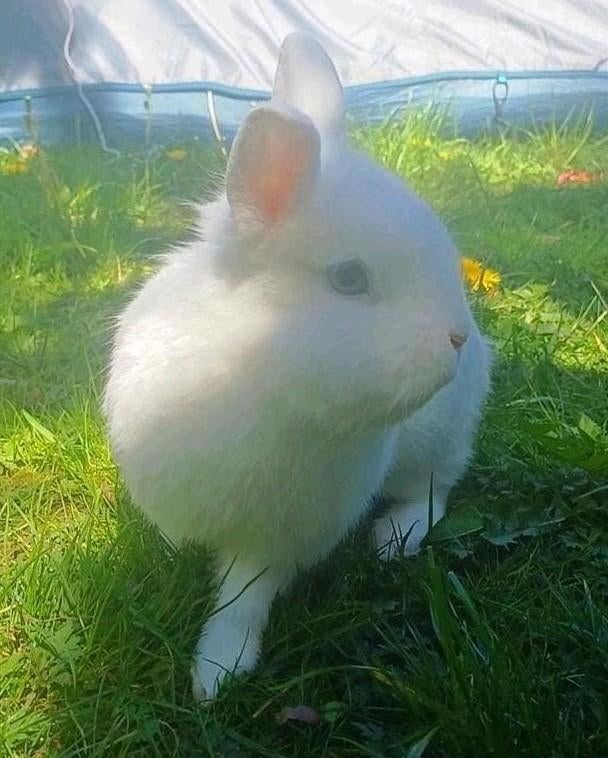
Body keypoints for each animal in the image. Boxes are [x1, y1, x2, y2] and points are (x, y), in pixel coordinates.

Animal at [103, 32, 491, 700]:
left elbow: (242, 597)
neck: (252, 369)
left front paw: (218, 672)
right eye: (349, 278)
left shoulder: (277, 535)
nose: (455, 339)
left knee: (435, 489)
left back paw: (396, 538)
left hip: (436, 439)